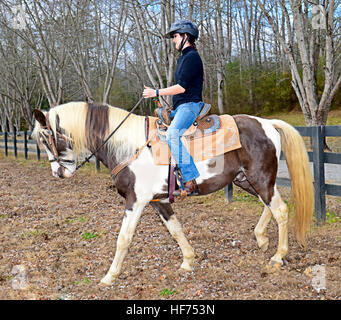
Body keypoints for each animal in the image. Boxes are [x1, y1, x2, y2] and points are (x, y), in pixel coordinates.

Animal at [31, 101, 314, 286]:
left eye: (46, 138)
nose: (58, 173)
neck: (128, 146)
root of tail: (268, 123)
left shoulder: (135, 201)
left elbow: (124, 238)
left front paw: (109, 276)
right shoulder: (158, 201)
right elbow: (175, 229)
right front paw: (188, 260)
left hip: (260, 179)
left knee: (280, 210)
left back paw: (278, 256)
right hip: (247, 181)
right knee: (271, 205)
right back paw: (261, 238)